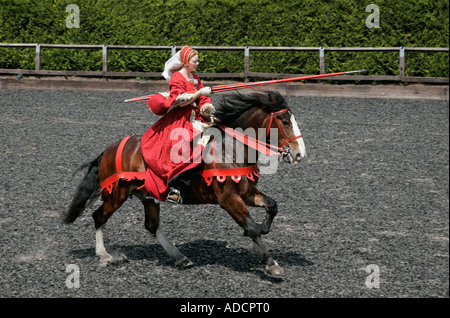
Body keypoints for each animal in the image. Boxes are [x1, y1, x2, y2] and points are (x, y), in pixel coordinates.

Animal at [64, 92, 306, 276]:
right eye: (285, 122)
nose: (299, 154)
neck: (231, 150)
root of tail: (109, 149)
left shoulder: (247, 193)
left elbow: (272, 206)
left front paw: (265, 231)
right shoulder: (228, 199)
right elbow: (252, 227)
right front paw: (271, 263)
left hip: (148, 196)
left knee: (152, 226)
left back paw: (179, 257)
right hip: (117, 194)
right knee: (99, 217)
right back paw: (105, 255)